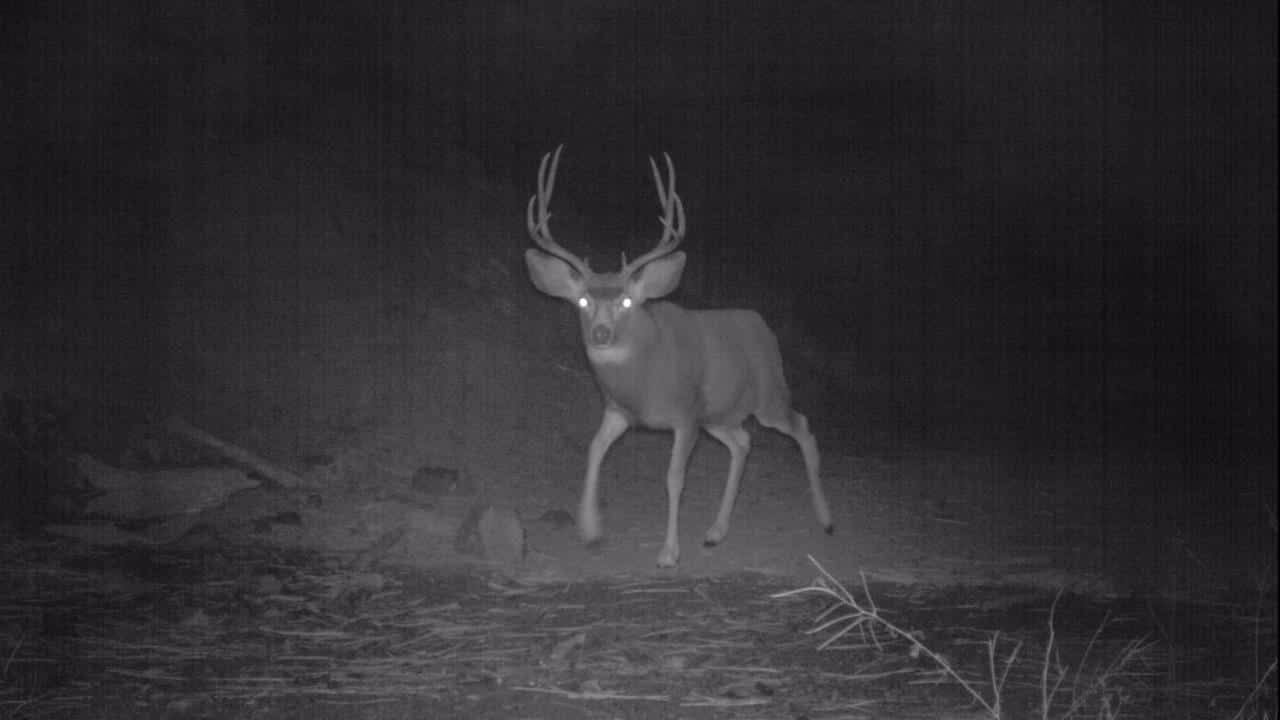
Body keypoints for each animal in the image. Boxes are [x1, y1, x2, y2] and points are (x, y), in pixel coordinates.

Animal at [523, 145, 834, 568]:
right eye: (584, 301)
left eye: (625, 301)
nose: (601, 333)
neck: (642, 378)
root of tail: (762, 325)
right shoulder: (620, 411)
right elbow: (593, 450)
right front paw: (590, 528)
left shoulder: (686, 414)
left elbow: (673, 478)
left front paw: (668, 552)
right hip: (718, 415)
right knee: (742, 443)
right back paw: (715, 532)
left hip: (768, 395)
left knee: (802, 426)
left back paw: (825, 518)